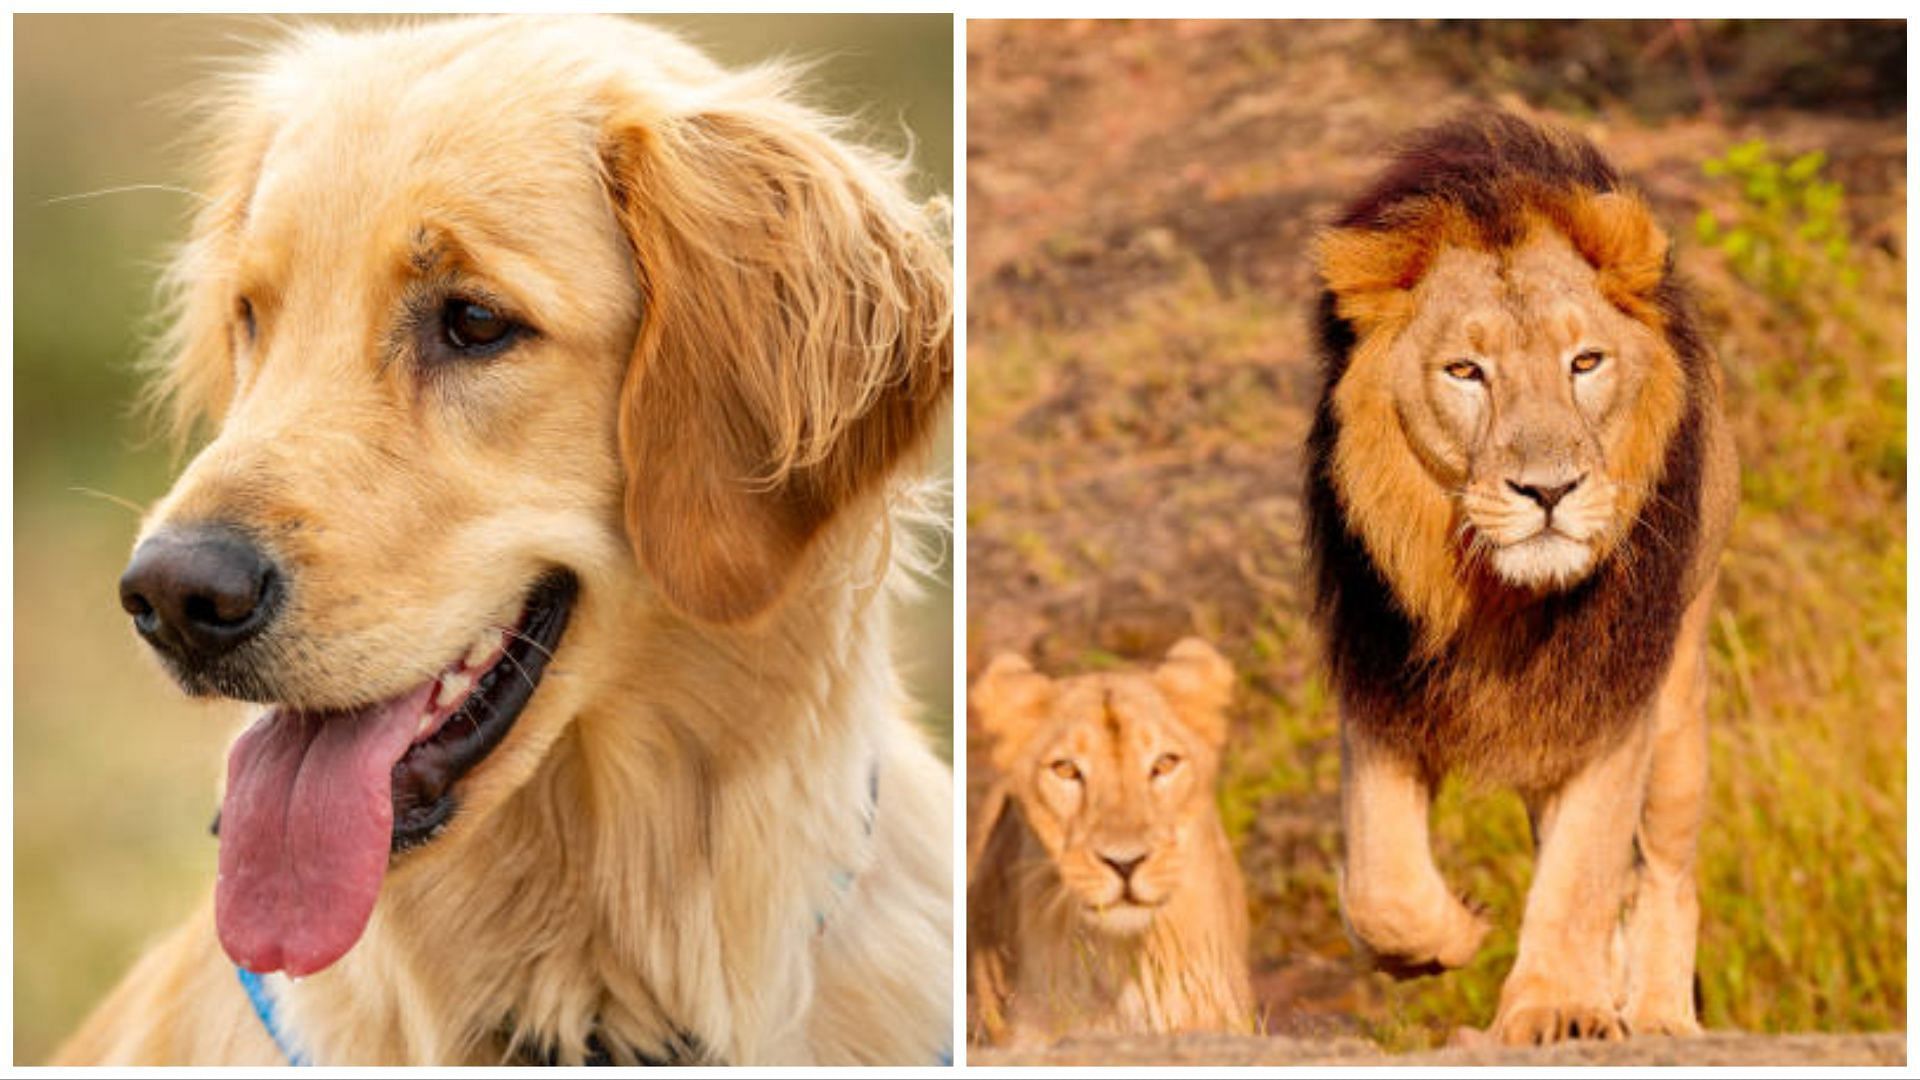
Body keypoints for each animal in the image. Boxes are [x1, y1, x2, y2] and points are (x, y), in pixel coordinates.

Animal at [1305, 115, 1743, 1045]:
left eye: (1585, 362)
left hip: (1681, 690)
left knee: (1664, 869)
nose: (1549, 491)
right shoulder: (1378, 677)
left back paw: (1656, 1014)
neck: (1499, 595)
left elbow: (1584, 870)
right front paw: (1455, 933)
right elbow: (1383, 887)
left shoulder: (1615, 694)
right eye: (1466, 371)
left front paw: (1558, 1008)